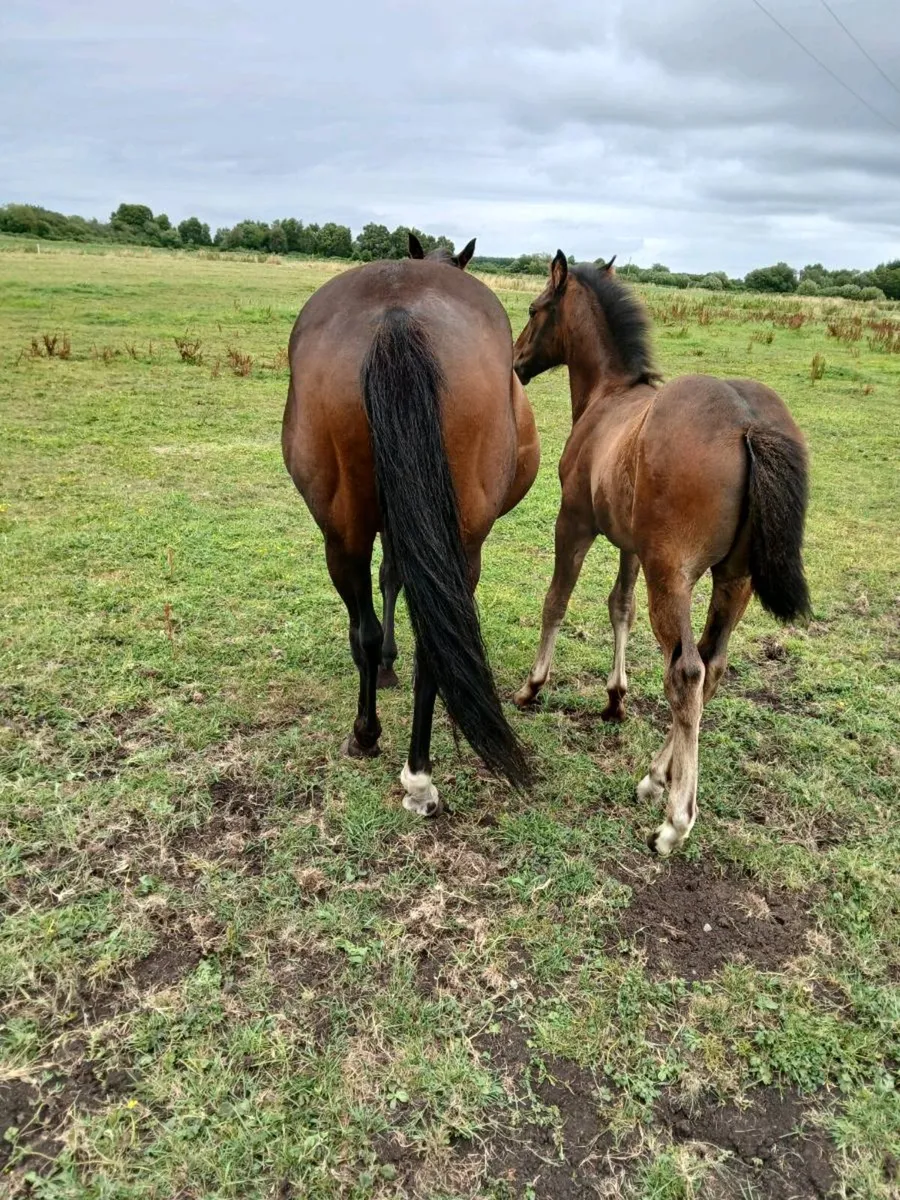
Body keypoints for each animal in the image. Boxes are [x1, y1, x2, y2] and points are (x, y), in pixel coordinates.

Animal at [282, 241, 540, 815]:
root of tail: (396, 315)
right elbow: (395, 581)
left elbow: (384, 592)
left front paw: (384, 666)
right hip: (463, 545)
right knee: (429, 647)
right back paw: (416, 773)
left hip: (342, 535)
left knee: (365, 628)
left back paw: (370, 737)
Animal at [512, 251, 810, 856]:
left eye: (534, 309)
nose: (515, 361)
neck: (608, 397)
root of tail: (750, 423)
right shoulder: (631, 546)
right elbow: (619, 607)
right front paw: (615, 698)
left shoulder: (574, 524)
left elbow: (556, 600)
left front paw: (533, 686)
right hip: (732, 580)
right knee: (712, 666)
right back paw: (655, 776)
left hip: (672, 574)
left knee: (687, 673)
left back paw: (676, 817)